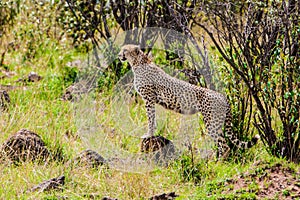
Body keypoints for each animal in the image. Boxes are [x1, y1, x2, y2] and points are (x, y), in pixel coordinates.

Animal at [118, 44, 258, 158]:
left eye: (125, 50)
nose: (119, 55)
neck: (138, 63)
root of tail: (223, 96)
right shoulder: (153, 100)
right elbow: (153, 118)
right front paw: (152, 133)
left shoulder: (149, 98)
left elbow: (150, 118)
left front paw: (148, 134)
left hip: (211, 122)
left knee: (225, 146)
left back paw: (218, 164)